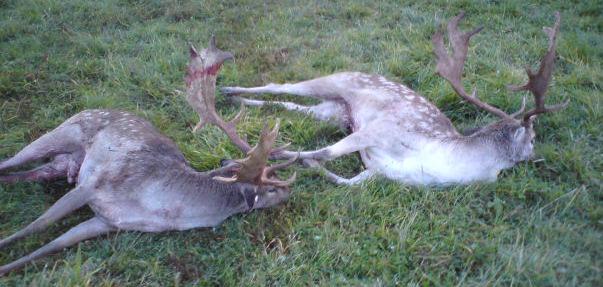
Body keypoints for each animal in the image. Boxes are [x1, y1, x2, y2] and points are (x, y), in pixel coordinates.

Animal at [0, 37, 294, 276]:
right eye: (271, 188)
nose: (291, 192)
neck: (158, 208)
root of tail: (88, 108)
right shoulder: (92, 185)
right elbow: (37, 226)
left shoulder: (107, 222)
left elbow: (50, 246)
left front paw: (7, 268)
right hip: (63, 132)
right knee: (10, 162)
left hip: (61, 164)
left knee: (25, 173)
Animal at [221, 12, 568, 186]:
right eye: (533, 139)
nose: (538, 156)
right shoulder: (383, 128)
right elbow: (326, 152)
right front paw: (238, 160)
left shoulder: (374, 173)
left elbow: (337, 175)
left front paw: (292, 160)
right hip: (332, 82)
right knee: (281, 84)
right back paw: (227, 90)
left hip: (334, 111)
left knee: (288, 105)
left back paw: (237, 102)